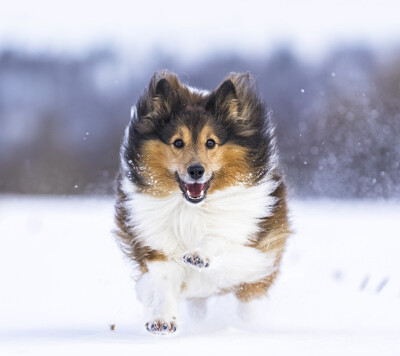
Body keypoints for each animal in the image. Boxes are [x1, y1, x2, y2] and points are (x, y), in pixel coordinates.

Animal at [114, 71, 290, 334]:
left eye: (211, 142)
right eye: (178, 142)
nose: (196, 170)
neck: (192, 209)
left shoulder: (254, 247)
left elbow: (219, 238)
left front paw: (198, 255)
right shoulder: (157, 249)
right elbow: (164, 284)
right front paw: (163, 320)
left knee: (248, 299)